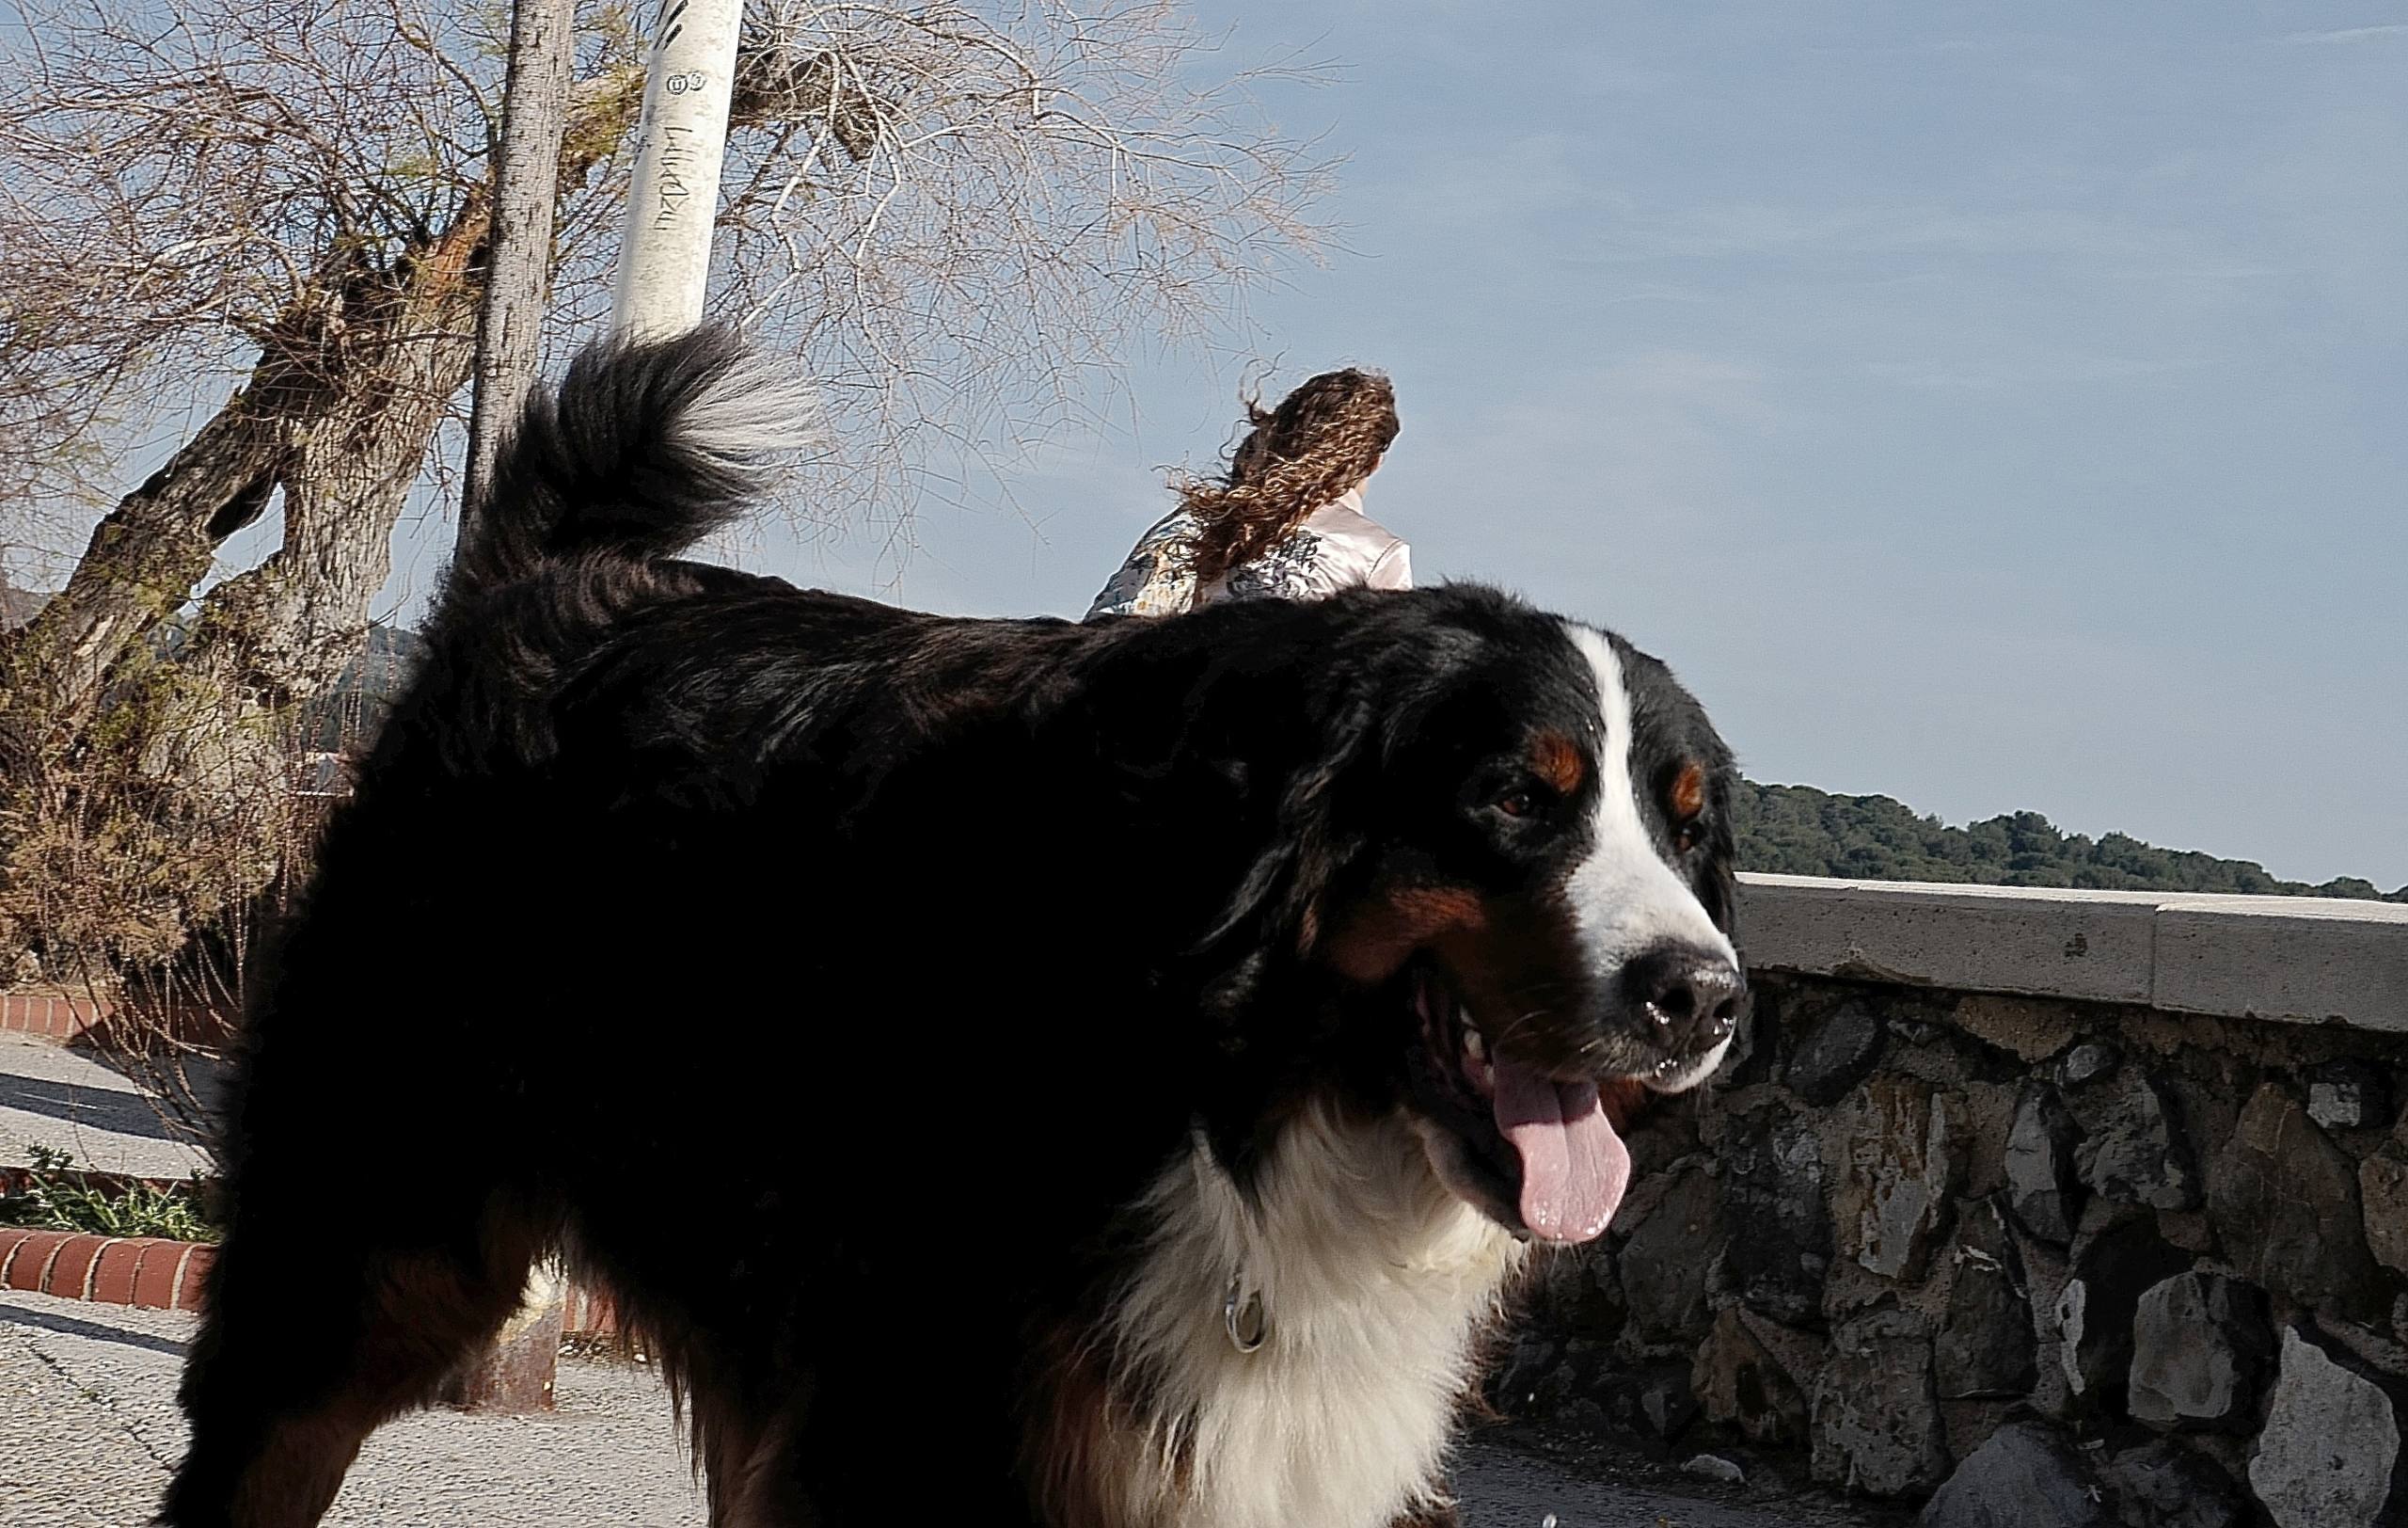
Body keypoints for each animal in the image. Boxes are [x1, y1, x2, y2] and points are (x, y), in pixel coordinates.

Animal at [165, 327, 1752, 1522]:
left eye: (1689, 827)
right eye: (1515, 797)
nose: (1704, 996)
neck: (1212, 1059)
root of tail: (549, 588)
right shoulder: (916, 1424)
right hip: (378, 1243)